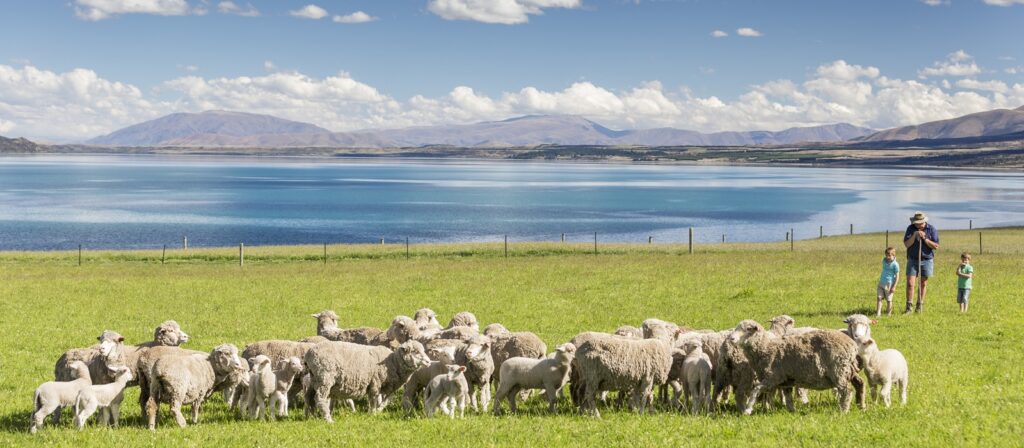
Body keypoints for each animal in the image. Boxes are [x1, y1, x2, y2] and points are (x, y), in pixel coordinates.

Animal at [730, 320, 865, 414]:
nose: (732, 339)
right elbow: (788, 397)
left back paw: (843, 411)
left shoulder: (773, 378)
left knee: (847, 391)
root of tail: (852, 345)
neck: (766, 347)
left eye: (748, 329)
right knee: (859, 384)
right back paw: (861, 406)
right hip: (848, 369)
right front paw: (792, 411)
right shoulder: (786, 381)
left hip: (838, 370)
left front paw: (748, 409)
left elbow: (756, 389)